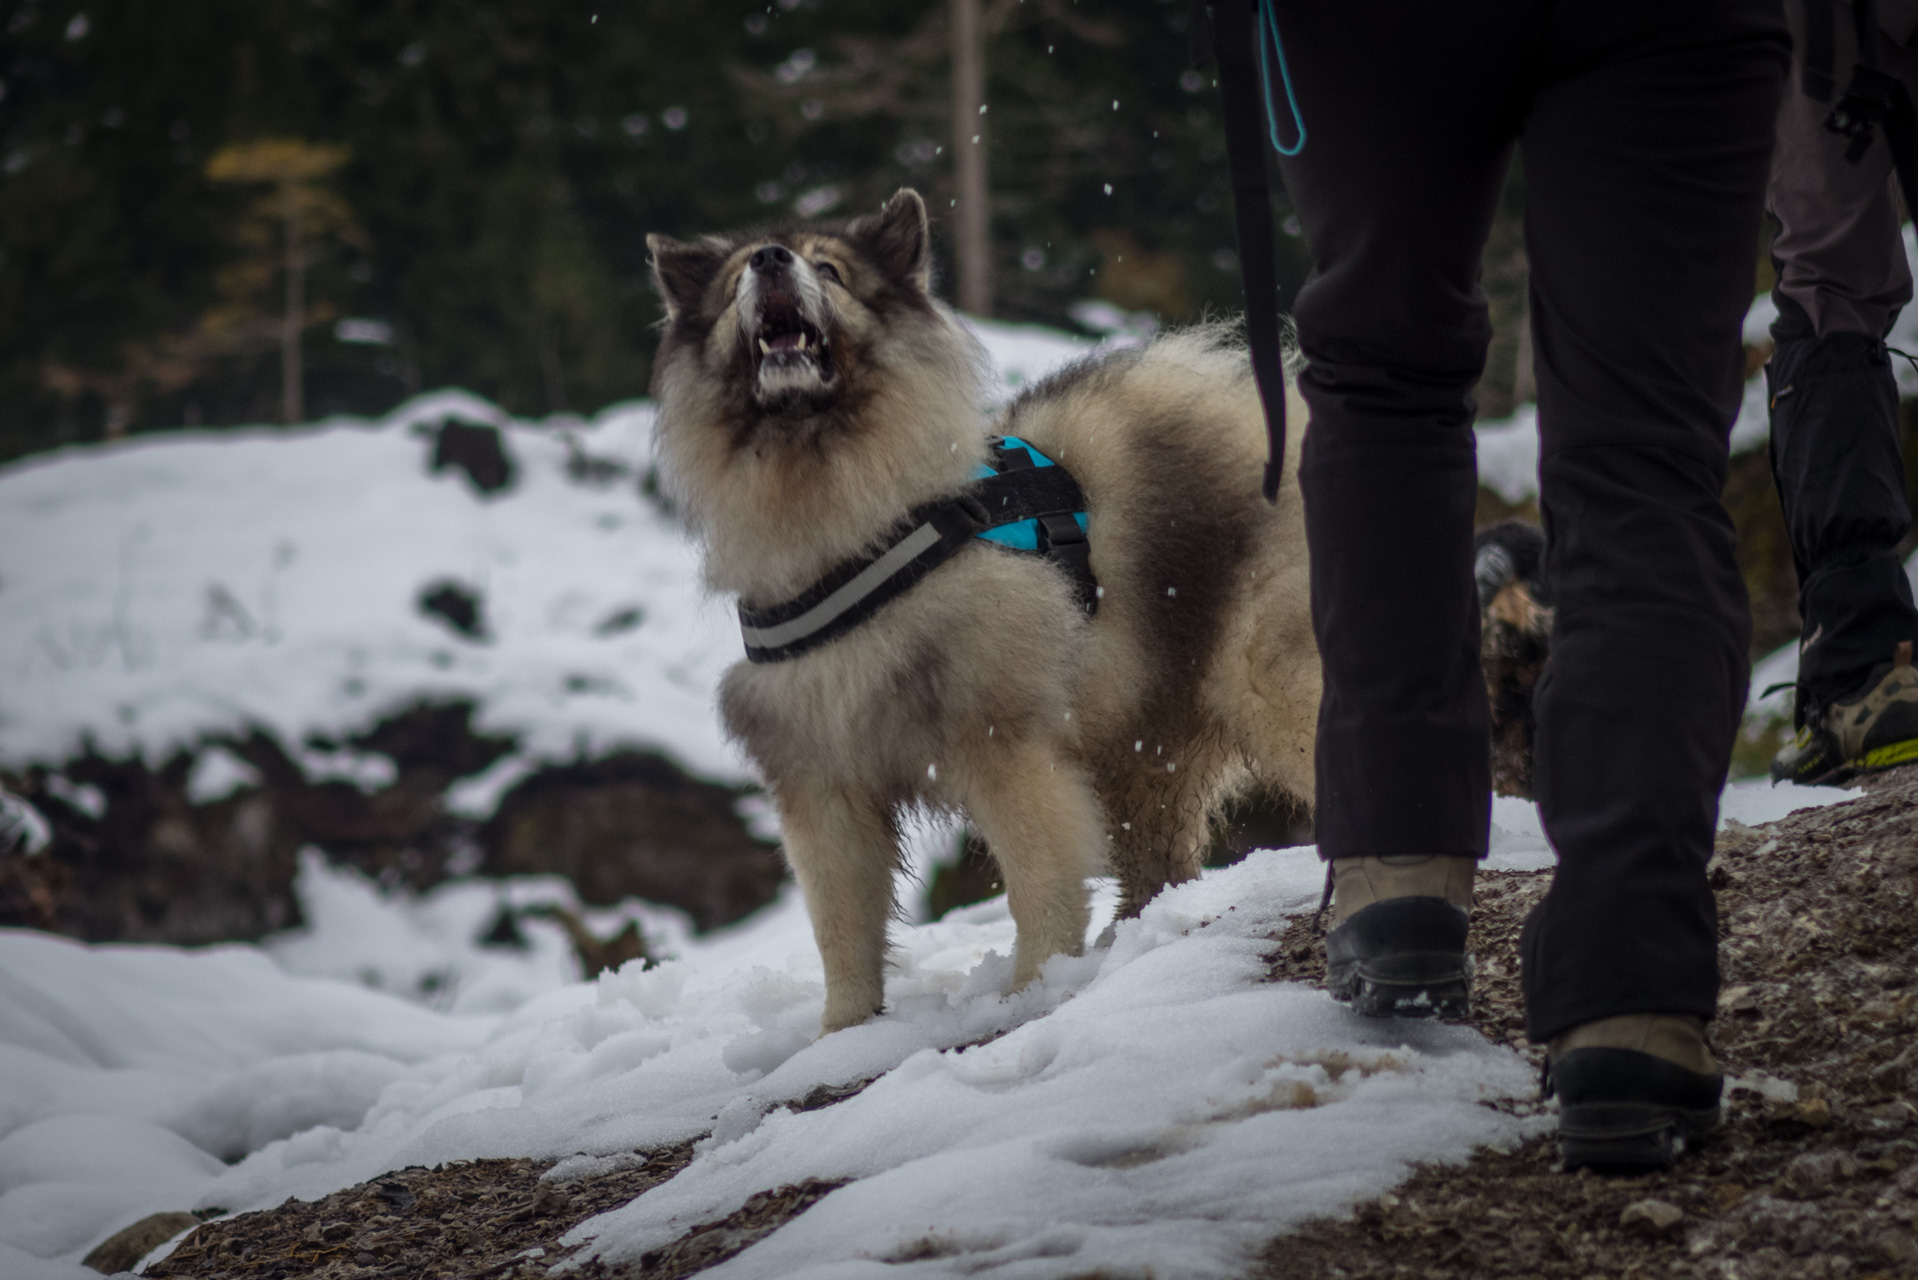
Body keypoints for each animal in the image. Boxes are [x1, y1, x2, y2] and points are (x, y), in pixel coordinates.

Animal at [644, 188, 1319, 1028]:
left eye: (828, 269)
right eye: (739, 273)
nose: (771, 261)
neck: (848, 523)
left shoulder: (1003, 745)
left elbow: (1040, 882)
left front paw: (1035, 986)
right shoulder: (824, 782)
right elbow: (843, 932)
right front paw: (843, 1031)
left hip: (1263, 681)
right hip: (1141, 748)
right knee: (1159, 865)